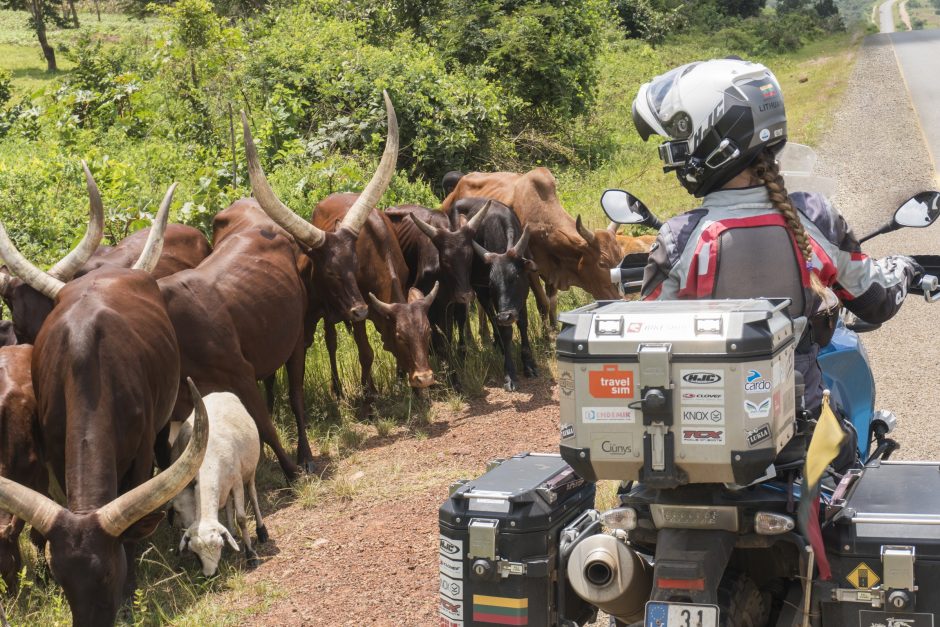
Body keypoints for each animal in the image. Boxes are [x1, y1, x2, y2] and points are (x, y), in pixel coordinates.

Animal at [0, 168, 209, 627]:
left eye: (109, 572)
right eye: (62, 578)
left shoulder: (138, 457)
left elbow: (131, 533)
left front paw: (131, 595)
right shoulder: (56, 454)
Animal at [171, 394, 268, 576]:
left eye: (218, 546)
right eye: (195, 552)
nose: (210, 575)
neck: (208, 465)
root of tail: (219, 393)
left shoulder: (237, 481)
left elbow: (242, 518)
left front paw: (251, 555)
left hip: (249, 472)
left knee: (253, 495)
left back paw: (262, 531)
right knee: (228, 502)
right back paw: (232, 532)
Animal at [442, 168, 628, 324]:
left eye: (621, 257)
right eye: (602, 263)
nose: (621, 299)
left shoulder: (553, 271)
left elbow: (552, 303)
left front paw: (554, 327)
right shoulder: (530, 271)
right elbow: (543, 303)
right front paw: (548, 336)